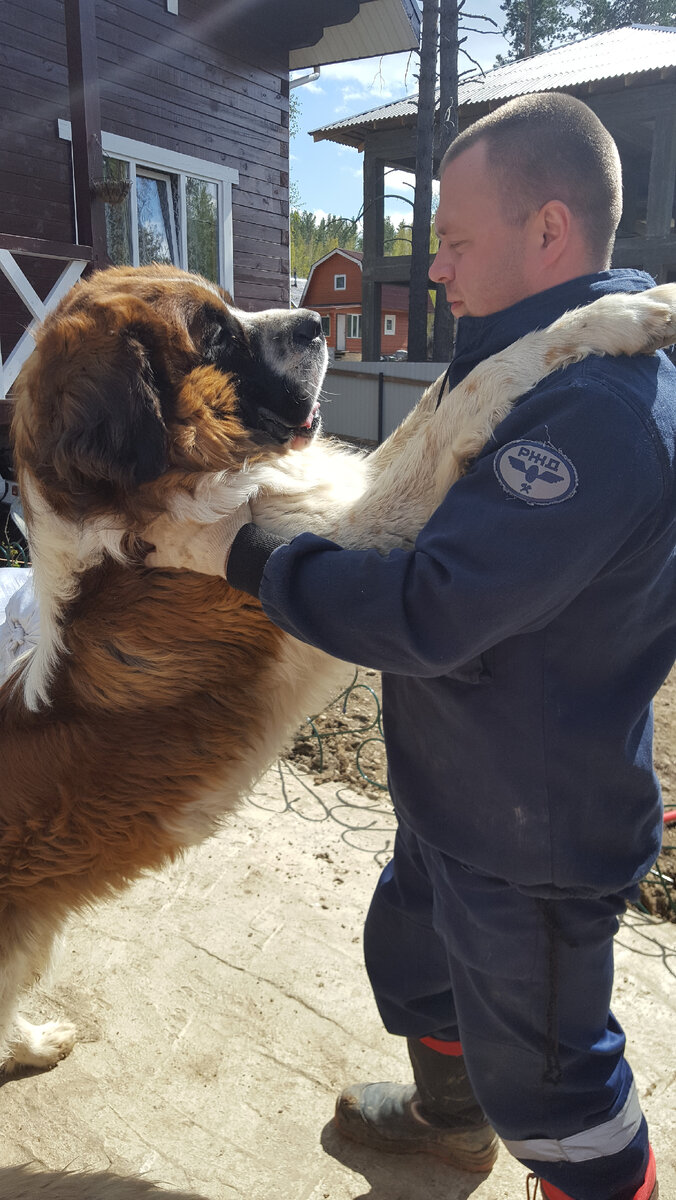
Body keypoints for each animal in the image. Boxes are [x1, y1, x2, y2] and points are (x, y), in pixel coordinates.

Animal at [0, 267, 672, 1075]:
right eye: (215, 334)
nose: (319, 323)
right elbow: (476, 390)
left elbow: (431, 406)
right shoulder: (357, 536)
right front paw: (617, 316)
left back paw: (34, 1042)